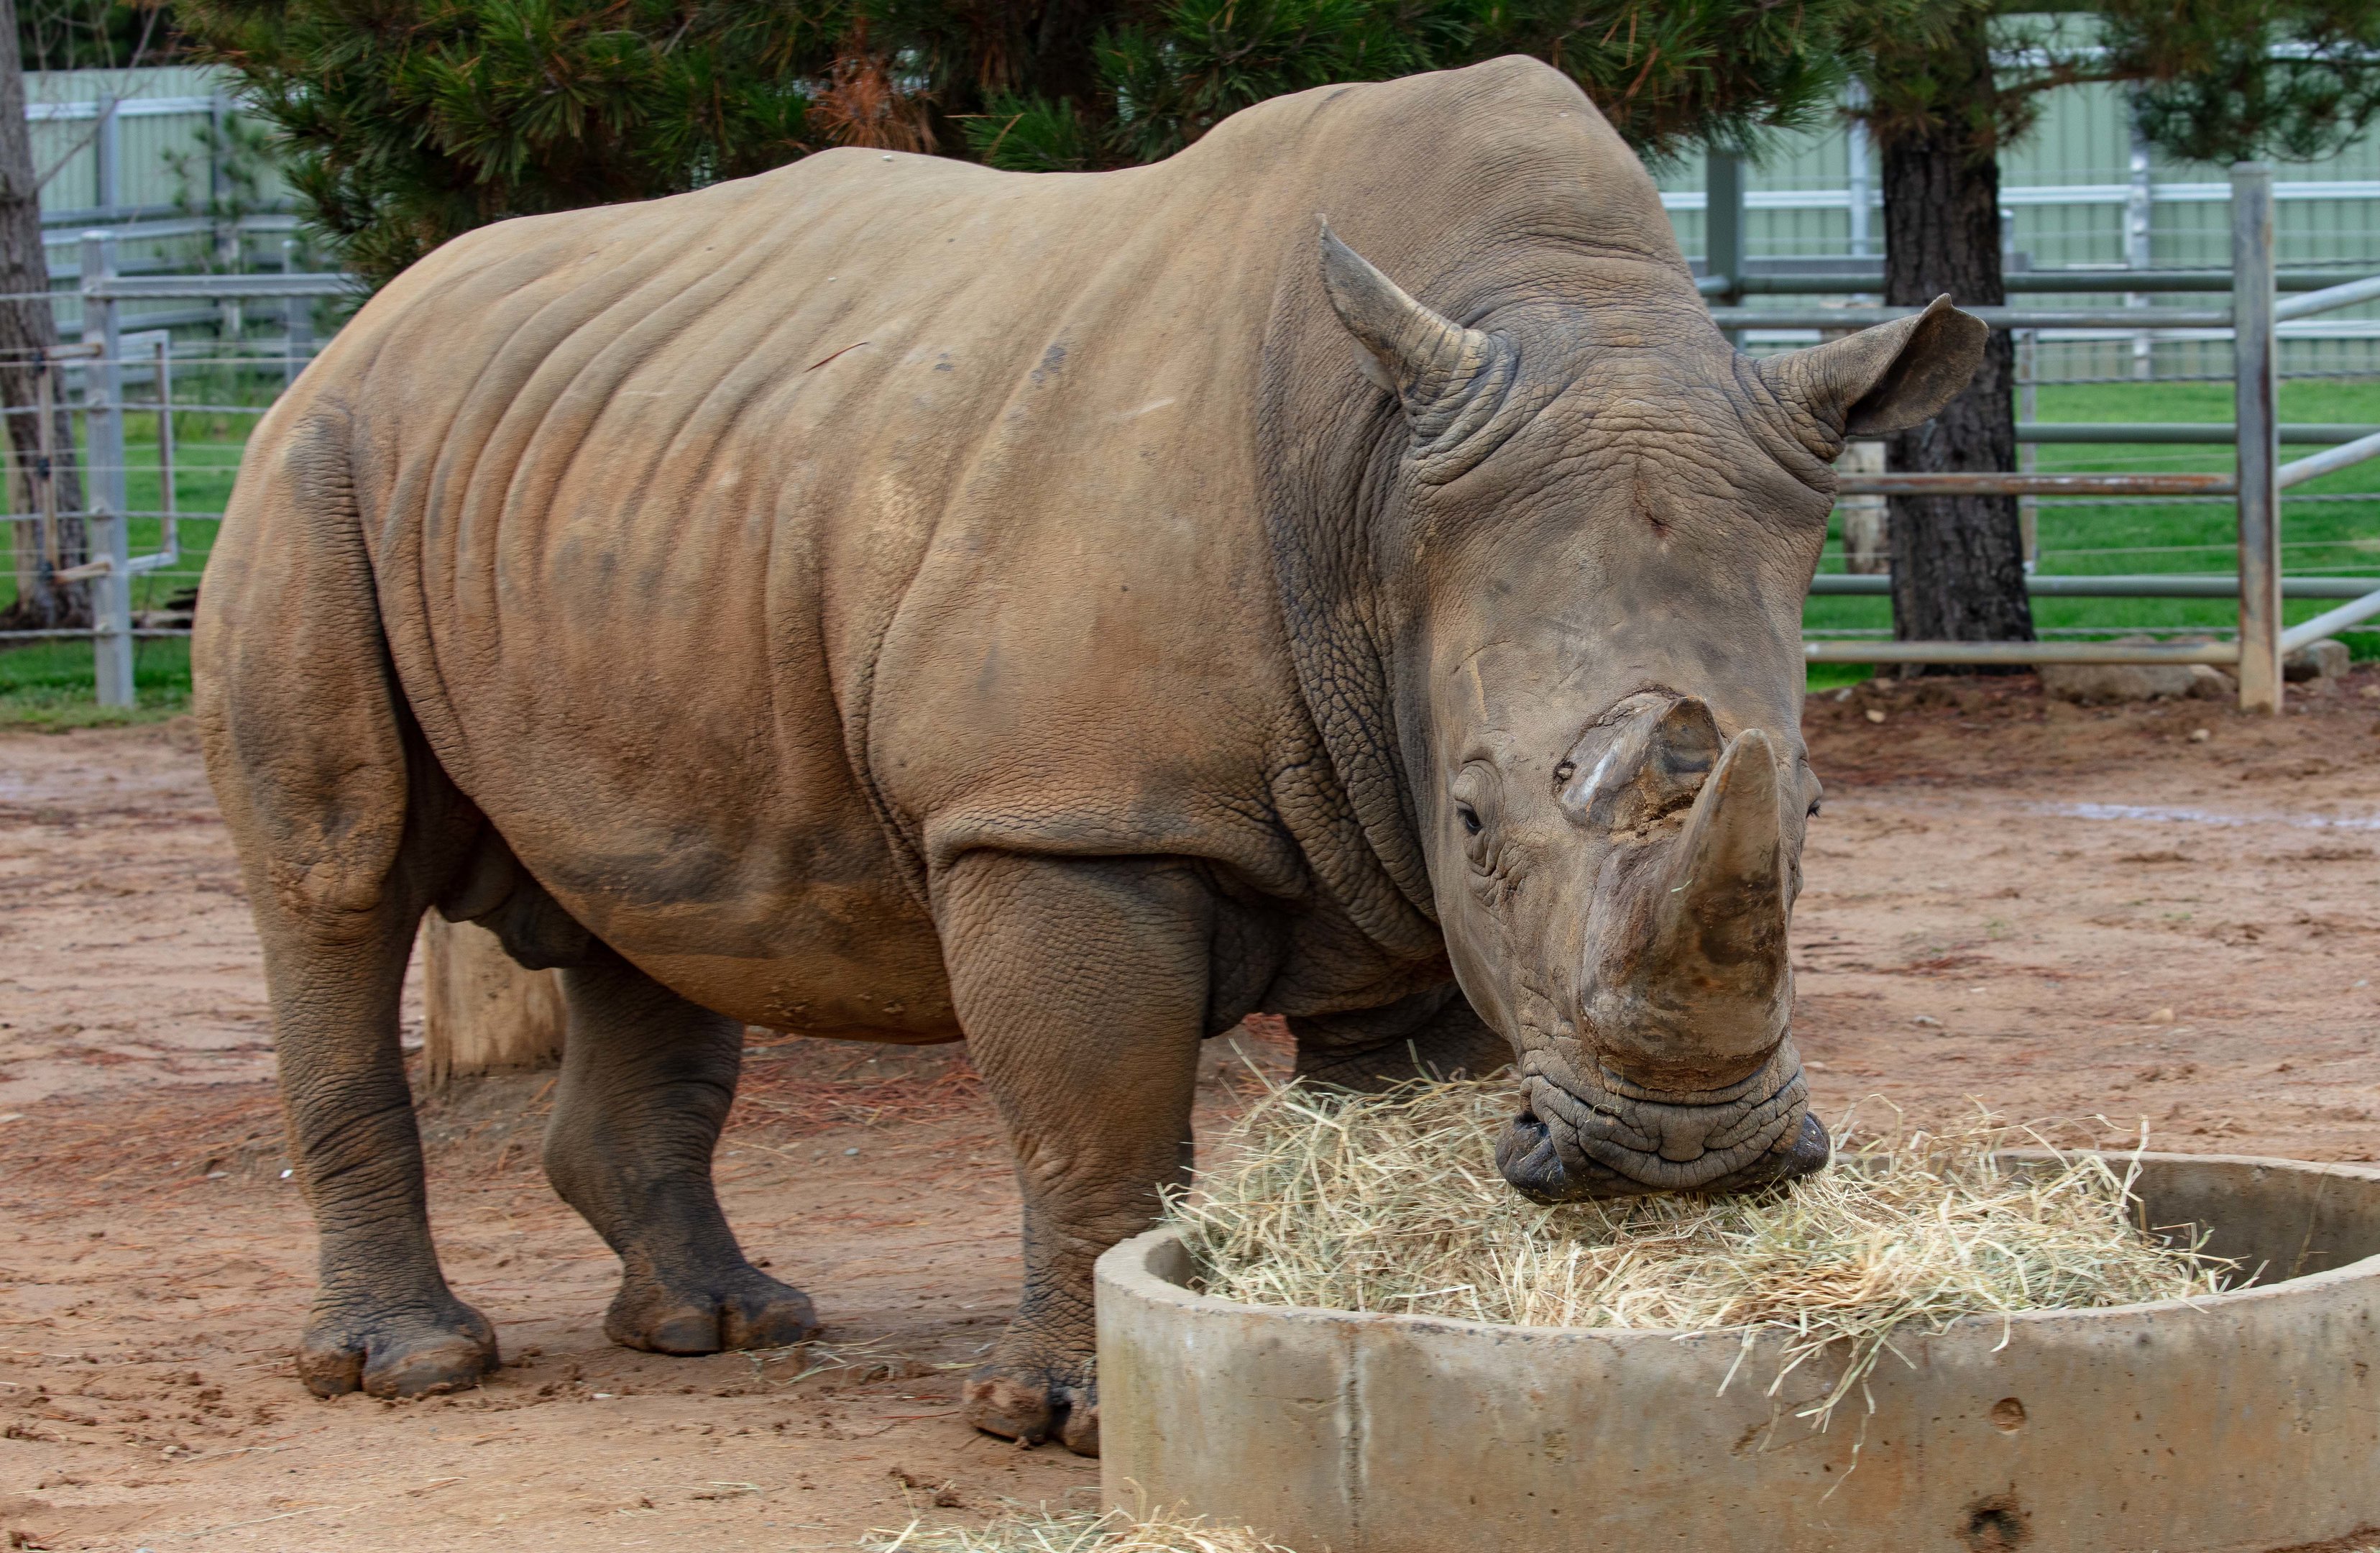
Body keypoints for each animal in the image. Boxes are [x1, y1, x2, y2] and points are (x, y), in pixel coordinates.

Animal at [195, 56, 1983, 1453]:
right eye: (1478, 819)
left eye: (1810, 803)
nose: (1679, 1162)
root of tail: (356, 323)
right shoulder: (1061, 815)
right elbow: (1095, 1114)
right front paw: (1068, 1417)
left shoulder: (1388, 865)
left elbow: (1370, 1098)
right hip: (309, 467)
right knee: (335, 876)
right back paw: (417, 1370)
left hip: (620, 491)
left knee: (658, 906)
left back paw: (728, 1325)